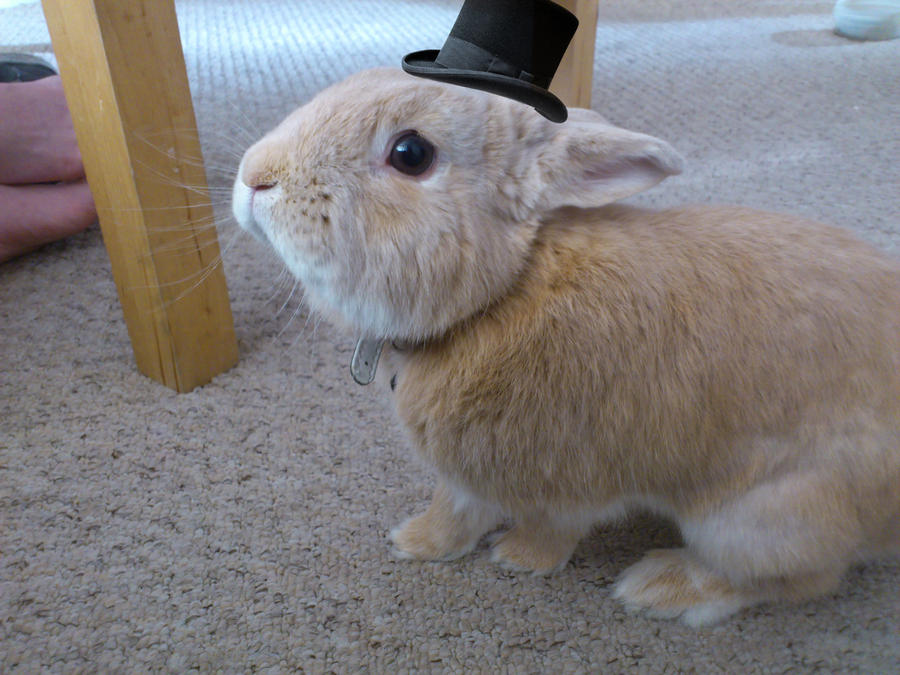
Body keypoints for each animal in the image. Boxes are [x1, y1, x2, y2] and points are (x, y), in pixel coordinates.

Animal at [232, 68, 900, 626]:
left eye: (411, 153)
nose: (254, 178)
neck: (502, 293)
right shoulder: (467, 473)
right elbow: (456, 508)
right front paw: (417, 543)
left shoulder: (568, 475)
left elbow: (549, 527)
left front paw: (517, 558)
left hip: (758, 517)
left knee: (800, 579)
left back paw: (661, 587)